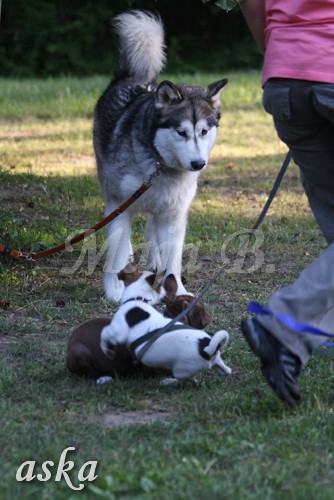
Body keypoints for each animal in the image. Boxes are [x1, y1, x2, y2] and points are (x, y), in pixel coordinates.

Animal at [94, 10, 230, 300]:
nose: (198, 163)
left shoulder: (174, 214)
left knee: (151, 230)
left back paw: (153, 259)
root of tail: (133, 78)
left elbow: (173, 259)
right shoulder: (120, 204)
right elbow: (116, 251)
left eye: (204, 131)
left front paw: (176, 289)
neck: (161, 165)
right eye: (181, 132)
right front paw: (114, 289)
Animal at [100, 272, 232, 384]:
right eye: (202, 310)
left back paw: (169, 382)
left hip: (180, 370)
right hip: (216, 361)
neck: (138, 299)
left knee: (187, 380)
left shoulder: (117, 331)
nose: (210, 318)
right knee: (225, 370)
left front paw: (107, 349)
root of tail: (207, 349)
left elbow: (104, 334)